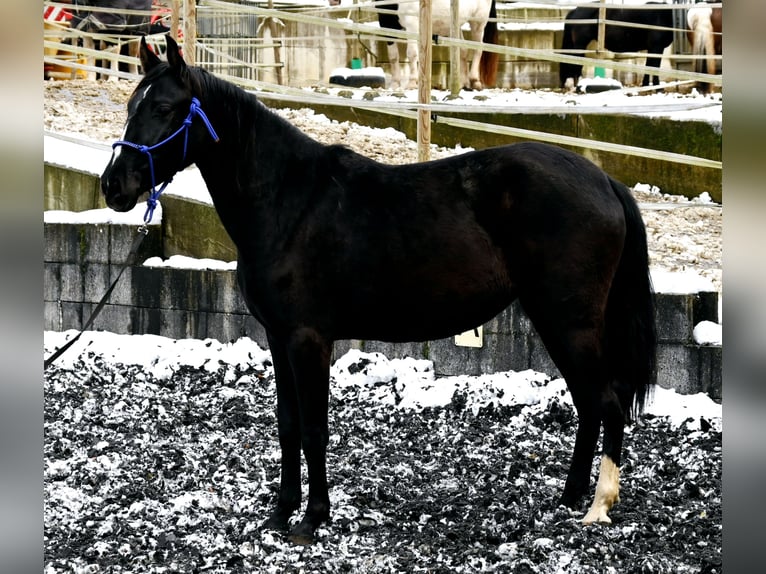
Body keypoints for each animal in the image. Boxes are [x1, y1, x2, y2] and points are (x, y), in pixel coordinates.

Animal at [99, 35, 656, 544]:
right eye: (130, 105)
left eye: (164, 108)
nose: (113, 186)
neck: (288, 201)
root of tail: (604, 181)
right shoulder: (278, 338)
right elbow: (288, 425)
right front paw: (280, 514)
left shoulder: (308, 340)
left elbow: (314, 428)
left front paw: (312, 520)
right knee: (589, 403)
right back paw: (568, 497)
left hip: (568, 320)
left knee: (606, 401)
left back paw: (598, 506)